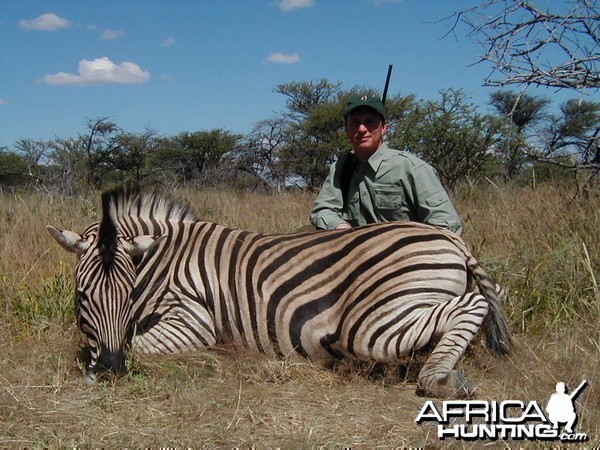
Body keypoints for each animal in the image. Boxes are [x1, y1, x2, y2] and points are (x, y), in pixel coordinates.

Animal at [49, 185, 512, 398]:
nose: (109, 371)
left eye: (127, 296)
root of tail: (450, 238)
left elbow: (141, 345)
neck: (162, 261)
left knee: (471, 304)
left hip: (370, 324)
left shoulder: (194, 318)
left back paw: (440, 378)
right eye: (82, 296)